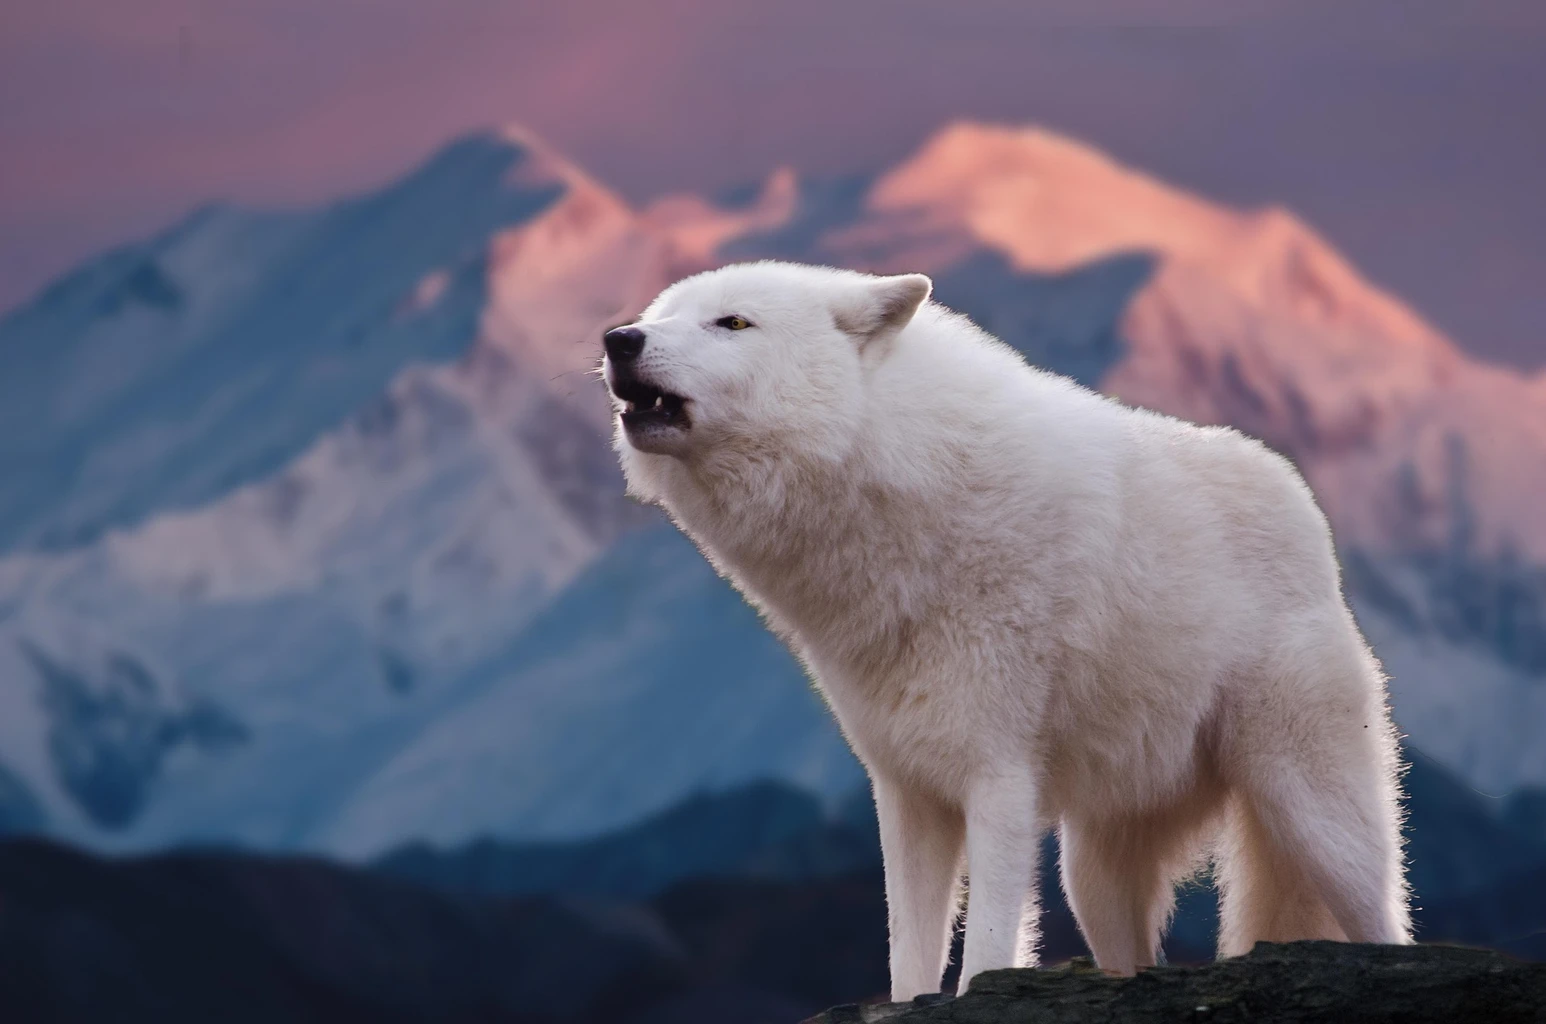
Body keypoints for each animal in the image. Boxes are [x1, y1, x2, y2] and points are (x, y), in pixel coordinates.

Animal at [602, 260, 1411, 999]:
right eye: (659, 315)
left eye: (732, 323)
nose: (617, 337)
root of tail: (1304, 507)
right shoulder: (907, 791)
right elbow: (910, 955)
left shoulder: (998, 778)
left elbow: (987, 945)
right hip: (1092, 872)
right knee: (1129, 954)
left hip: (1311, 811)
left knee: (1385, 923)